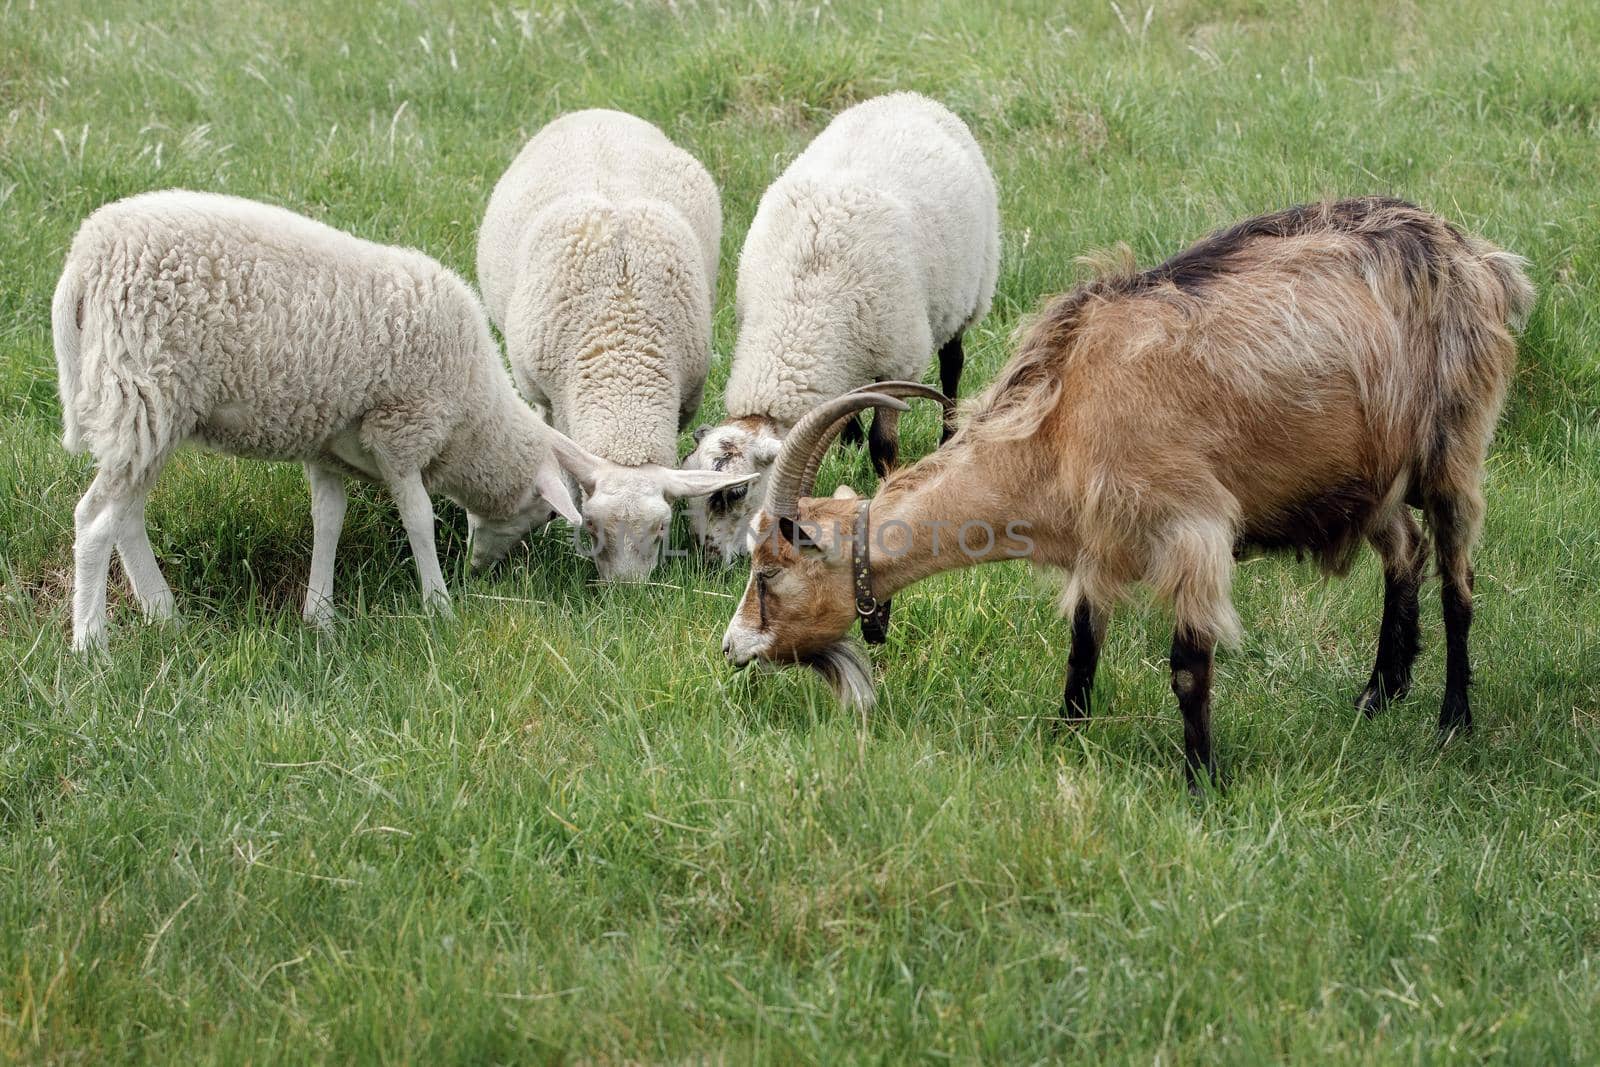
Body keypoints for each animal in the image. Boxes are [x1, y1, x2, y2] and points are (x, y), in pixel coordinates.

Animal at [54, 189, 601, 652]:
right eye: (547, 513)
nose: (481, 571)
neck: (473, 413)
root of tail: (85, 255)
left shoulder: (327, 445)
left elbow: (329, 521)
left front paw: (320, 614)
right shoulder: (403, 429)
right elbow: (419, 520)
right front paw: (439, 605)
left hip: (150, 416)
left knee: (127, 516)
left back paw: (162, 612)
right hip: (143, 392)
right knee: (94, 521)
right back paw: (91, 642)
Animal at [473, 110, 755, 585]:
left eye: (661, 529)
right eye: (589, 526)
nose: (627, 592)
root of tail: (596, 112)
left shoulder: (683, 401)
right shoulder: (556, 398)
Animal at [678, 92, 998, 563]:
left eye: (734, 493)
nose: (707, 561)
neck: (798, 317)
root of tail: (906, 97)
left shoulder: (899, 360)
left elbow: (884, 445)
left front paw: (885, 487)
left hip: (969, 292)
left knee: (953, 365)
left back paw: (949, 433)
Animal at [720, 198, 1529, 783]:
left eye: (770, 572)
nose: (730, 647)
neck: (1067, 409)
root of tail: (1480, 259)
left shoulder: (1193, 530)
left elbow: (1188, 670)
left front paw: (1202, 781)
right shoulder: (1098, 543)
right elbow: (1082, 647)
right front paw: (1066, 736)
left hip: (1455, 449)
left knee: (1458, 578)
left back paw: (1452, 718)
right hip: (1373, 481)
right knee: (1405, 552)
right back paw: (1378, 693)